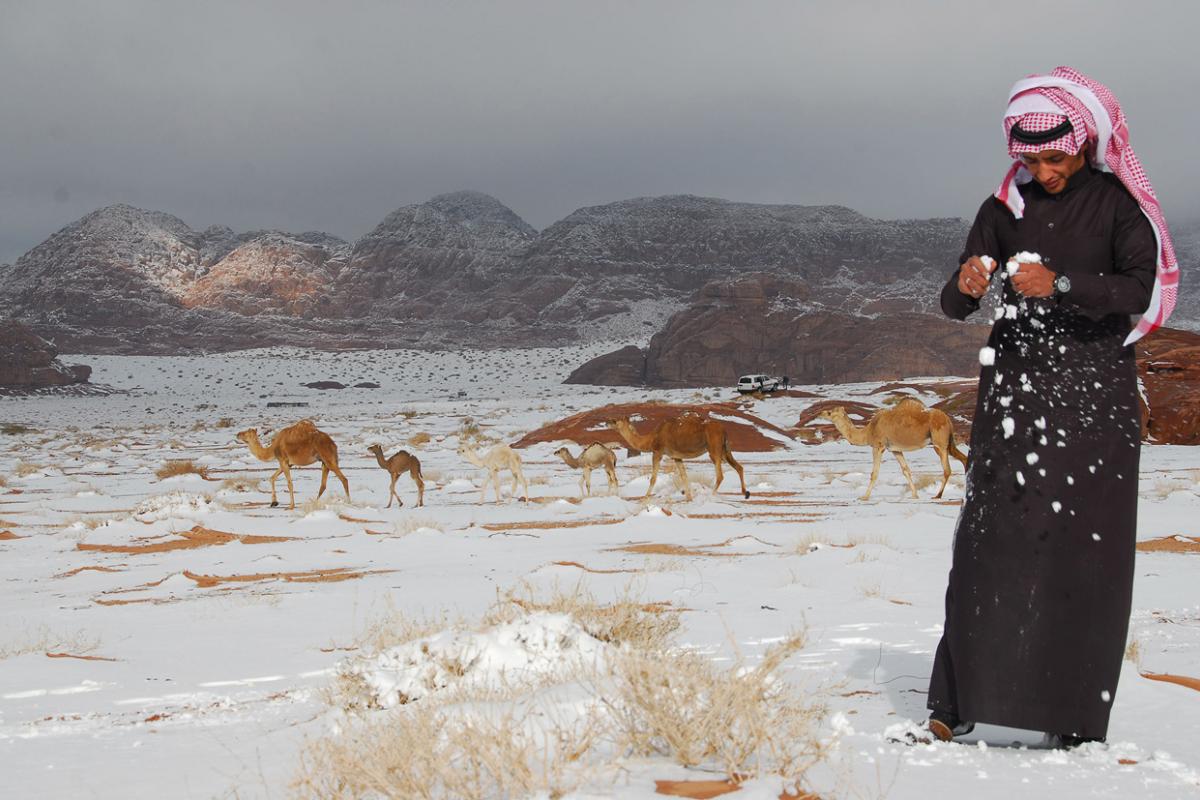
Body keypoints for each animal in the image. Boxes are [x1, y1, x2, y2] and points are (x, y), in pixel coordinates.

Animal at [609, 412, 748, 501]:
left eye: (616, 421)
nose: (608, 422)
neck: (651, 438)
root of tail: (724, 430)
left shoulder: (657, 452)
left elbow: (653, 478)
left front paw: (644, 497)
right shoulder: (676, 456)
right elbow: (684, 476)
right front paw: (688, 497)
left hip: (714, 449)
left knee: (720, 475)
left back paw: (710, 495)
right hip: (725, 449)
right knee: (739, 467)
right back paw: (745, 493)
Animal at [811, 400, 969, 501]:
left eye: (830, 413)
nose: (819, 413)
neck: (868, 431)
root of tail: (948, 419)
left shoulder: (878, 446)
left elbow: (874, 473)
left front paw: (864, 497)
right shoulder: (895, 449)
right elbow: (906, 470)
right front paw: (915, 495)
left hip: (939, 443)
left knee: (947, 469)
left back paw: (937, 495)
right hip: (948, 443)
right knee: (964, 459)